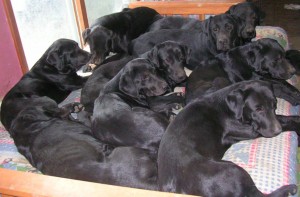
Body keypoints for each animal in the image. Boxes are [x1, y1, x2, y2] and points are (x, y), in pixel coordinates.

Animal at [157, 79, 298, 196]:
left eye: (275, 104)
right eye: (258, 109)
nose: (277, 131)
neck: (229, 107)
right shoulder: (250, 130)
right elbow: (283, 119)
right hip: (233, 170)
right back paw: (289, 189)